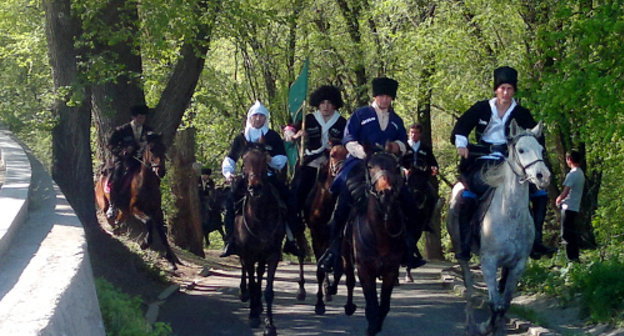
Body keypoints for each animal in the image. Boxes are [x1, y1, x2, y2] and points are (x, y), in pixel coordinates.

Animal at [95, 131, 182, 270]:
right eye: (151, 149)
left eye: (164, 148)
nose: (161, 171)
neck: (147, 183)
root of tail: (100, 180)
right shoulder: (135, 208)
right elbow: (148, 221)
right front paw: (144, 244)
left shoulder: (157, 211)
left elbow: (163, 235)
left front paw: (171, 261)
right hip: (104, 202)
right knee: (108, 214)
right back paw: (113, 222)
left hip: (124, 211)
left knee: (119, 219)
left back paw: (118, 228)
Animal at [234, 145, 286, 336]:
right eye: (244, 159)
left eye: (265, 160)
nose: (255, 187)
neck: (260, 216)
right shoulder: (248, 254)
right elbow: (252, 283)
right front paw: (253, 316)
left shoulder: (272, 255)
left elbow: (268, 290)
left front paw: (270, 325)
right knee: (247, 273)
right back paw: (246, 296)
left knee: (259, 274)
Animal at [304, 144, 348, 316]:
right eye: (333, 154)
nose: (342, 170)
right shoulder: (316, 236)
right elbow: (319, 271)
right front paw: (319, 304)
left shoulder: (338, 237)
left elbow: (339, 266)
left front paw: (330, 289)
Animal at [342, 152, 404, 336]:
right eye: (370, 167)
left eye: (395, 166)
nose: (386, 193)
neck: (379, 234)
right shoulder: (364, 269)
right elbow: (372, 304)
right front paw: (371, 326)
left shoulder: (391, 270)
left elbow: (383, 306)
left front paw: (376, 325)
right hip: (345, 255)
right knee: (349, 279)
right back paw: (349, 306)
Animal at [448, 119, 552, 334]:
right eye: (521, 150)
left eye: (541, 150)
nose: (543, 176)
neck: (509, 214)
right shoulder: (489, 262)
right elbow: (494, 303)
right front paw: (486, 326)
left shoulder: (517, 264)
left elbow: (504, 303)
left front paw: (497, 327)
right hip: (463, 255)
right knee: (469, 287)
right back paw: (471, 324)